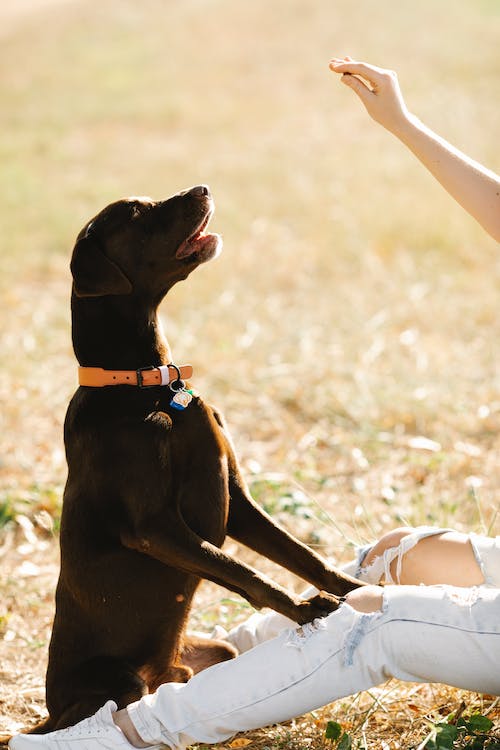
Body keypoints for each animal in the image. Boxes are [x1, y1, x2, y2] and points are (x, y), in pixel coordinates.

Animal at [37, 188, 362, 736]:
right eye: (136, 214)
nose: (203, 189)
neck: (150, 388)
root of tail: (50, 709)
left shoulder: (239, 503)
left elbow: (301, 556)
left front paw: (361, 587)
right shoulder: (154, 528)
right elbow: (246, 573)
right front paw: (304, 610)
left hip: (209, 653)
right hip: (117, 681)